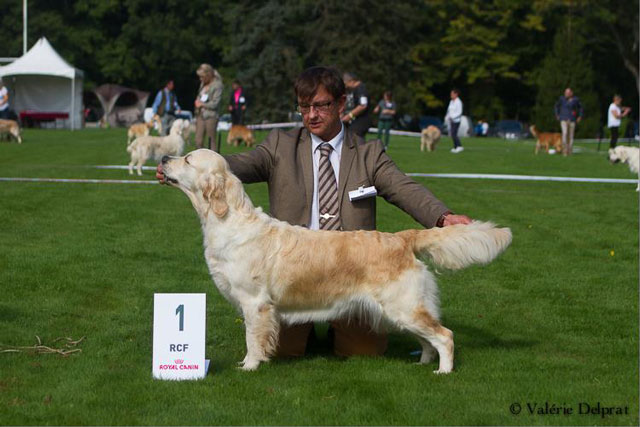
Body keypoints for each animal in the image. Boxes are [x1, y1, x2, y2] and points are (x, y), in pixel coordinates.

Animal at [161, 150, 516, 374]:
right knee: (429, 338)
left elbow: (253, 339)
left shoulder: (255, 303)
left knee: (445, 335)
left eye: (188, 158)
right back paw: (424, 362)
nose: (163, 158)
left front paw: (249, 366)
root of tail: (402, 238)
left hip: (402, 306)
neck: (228, 220)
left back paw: (443, 371)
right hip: (403, 310)